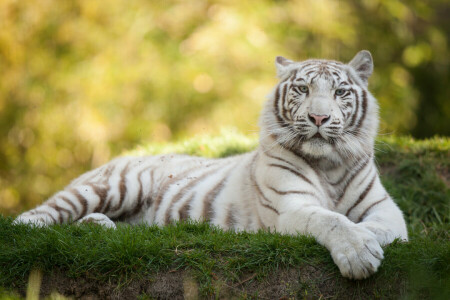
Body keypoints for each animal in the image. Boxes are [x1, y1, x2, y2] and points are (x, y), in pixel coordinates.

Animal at [14, 51, 408, 278]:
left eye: (340, 92)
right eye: (302, 90)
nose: (319, 117)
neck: (329, 166)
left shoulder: (387, 211)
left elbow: (378, 228)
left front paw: (367, 241)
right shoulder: (291, 207)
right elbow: (331, 219)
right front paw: (358, 253)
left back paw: (99, 227)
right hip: (114, 186)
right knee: (36, 217)